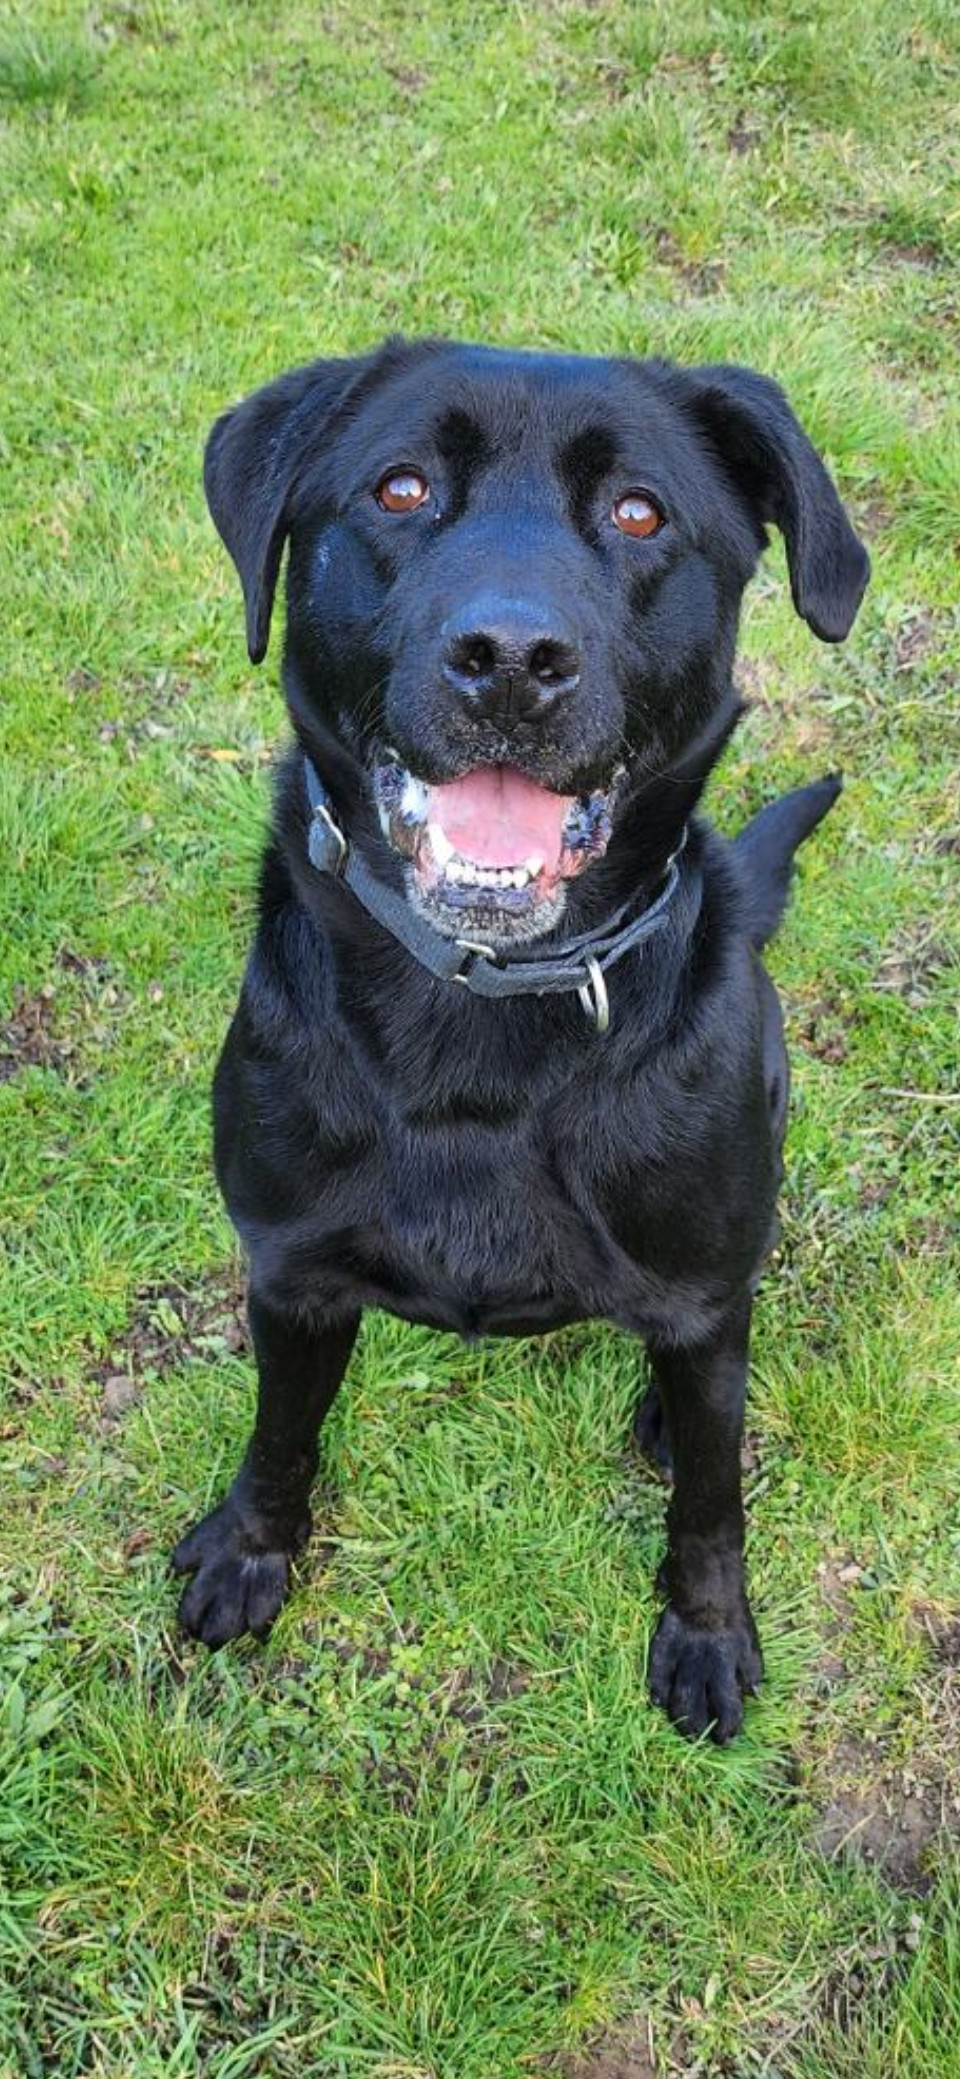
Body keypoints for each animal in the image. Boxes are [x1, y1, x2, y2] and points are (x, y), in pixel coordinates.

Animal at [174, 336, 868, 1738]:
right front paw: (249, 1549)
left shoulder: (702, 1302)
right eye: (399, 489)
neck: (483, 1010)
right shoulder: (289, 1271)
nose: (509, 656)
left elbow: (712, 1502)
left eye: (640, 514)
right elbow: (280, 1434)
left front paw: (707, 1632)